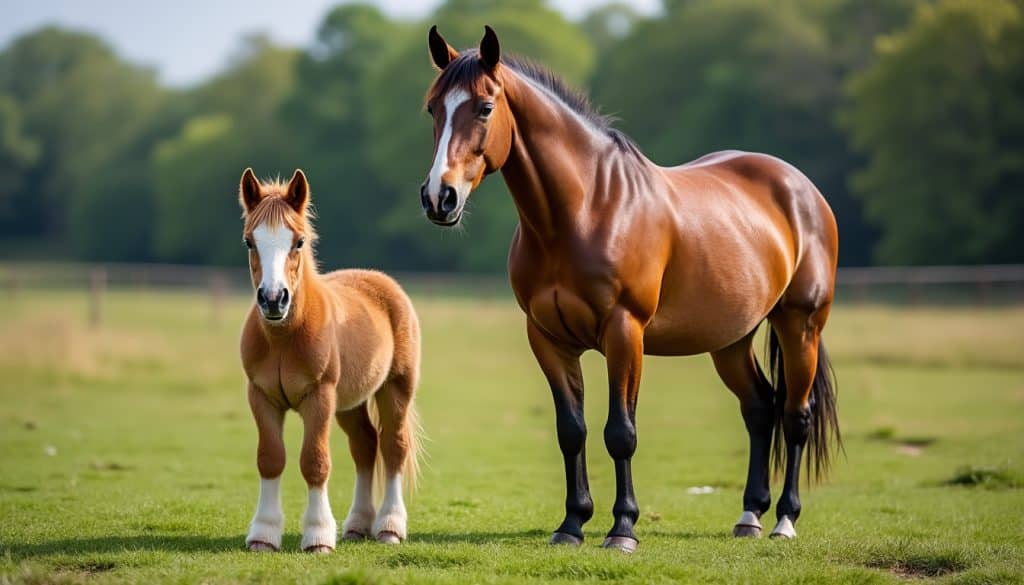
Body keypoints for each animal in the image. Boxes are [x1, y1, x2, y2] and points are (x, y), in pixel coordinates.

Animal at [237, 168, 423, 552]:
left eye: (299, 241)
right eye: (250, 241)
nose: (274, 299)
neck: (284, 338)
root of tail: (380, 280)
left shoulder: (319, 398)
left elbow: (315, 461)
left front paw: (318, 535)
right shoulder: (261, 397)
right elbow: (270, 458)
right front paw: (264, 534)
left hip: (395, 389)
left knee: (393, 448)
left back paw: (390, 527)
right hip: (350, 404)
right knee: (365, 446)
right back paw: (357, 525)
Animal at [418, 27, 841, 552]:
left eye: (484, 107)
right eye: (432, 108)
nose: (439, 197)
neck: (585, 210)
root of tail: (800, 188)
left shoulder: (625, 333)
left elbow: (620, 432)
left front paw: (622, 528)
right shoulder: (548, 339)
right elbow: (571, 430)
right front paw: (572, 524)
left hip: (800, 324)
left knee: (795, 415)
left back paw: (784, 519)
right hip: (731, 339)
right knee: (760, 409)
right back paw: (749, 516)